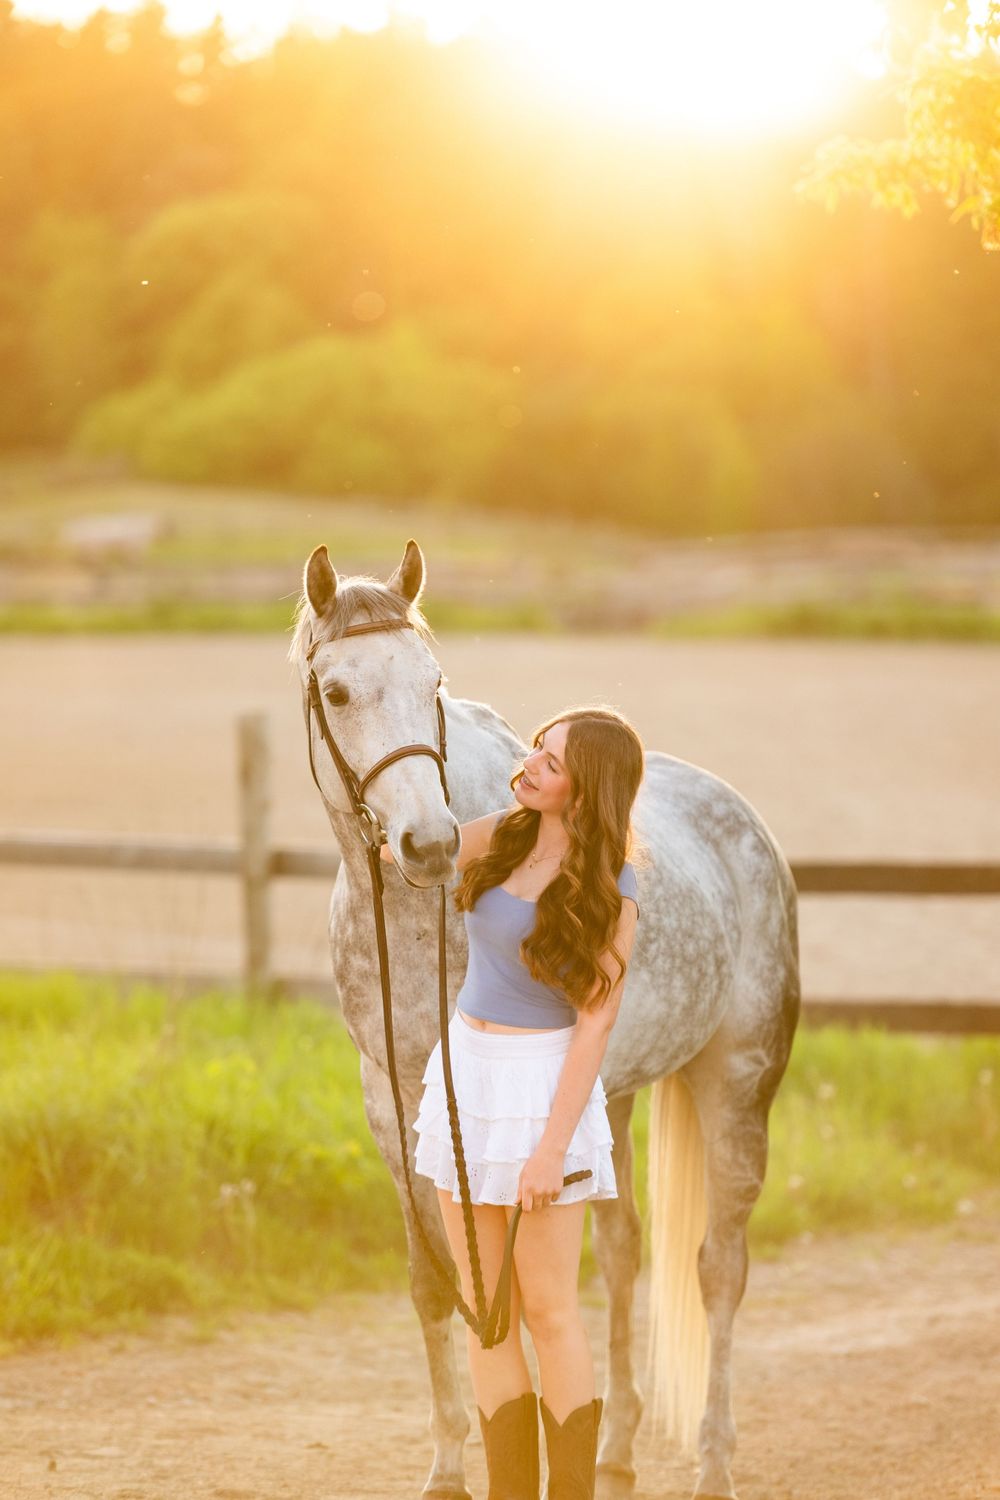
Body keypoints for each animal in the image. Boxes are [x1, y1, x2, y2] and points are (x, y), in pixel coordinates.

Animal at [288, 538, 801, 1500]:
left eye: (433, 679)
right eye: (335, 692)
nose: (429, 845)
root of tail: (744, 822)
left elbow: (515, 1296)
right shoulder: (393, 1102)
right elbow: (437, 1283)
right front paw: (450, 1466)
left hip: (737, 1083)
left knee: (719, 1268)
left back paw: (713, 1463)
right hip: (614, 1098)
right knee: (626, 1252)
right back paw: (617, 1450)